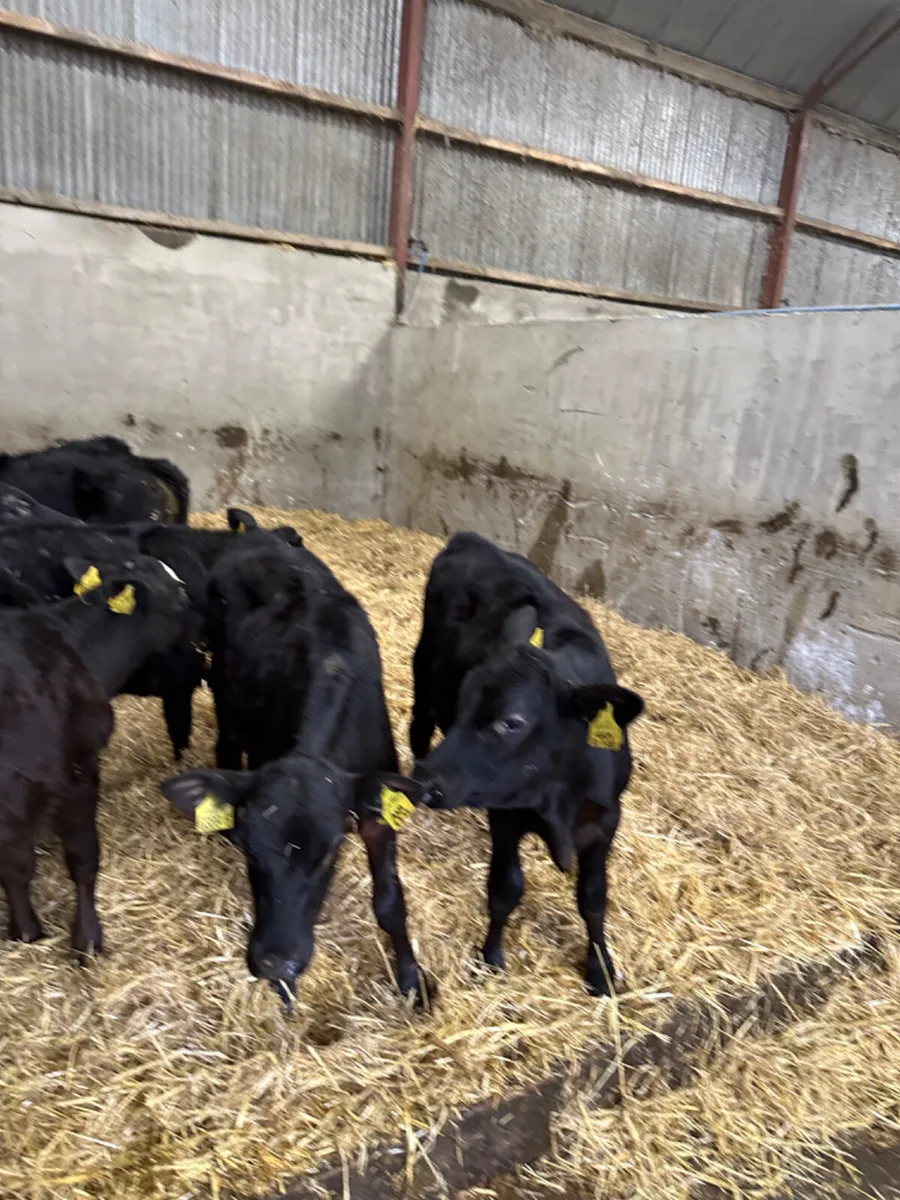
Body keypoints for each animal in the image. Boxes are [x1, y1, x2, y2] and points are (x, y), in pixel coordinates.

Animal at [0, 557, 188, 956]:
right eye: (181, 596)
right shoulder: (75, 771)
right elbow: (80, 855)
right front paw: (85, 935)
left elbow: (15, 864)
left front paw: (25, 929)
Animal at [161, 539, 426, 1005]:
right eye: (250, 848)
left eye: (331, 851)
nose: (275, 962)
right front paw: (285, 991)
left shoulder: (377, 813)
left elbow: (391, 901)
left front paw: (412, 981)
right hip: (223, 690)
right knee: (226, 745)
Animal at [409, 532, 644, 997]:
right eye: (463, 704)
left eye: (512, 722)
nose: (426, 784)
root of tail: (473, 540)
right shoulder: (506, 815)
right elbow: (505, 887)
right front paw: (490, 957)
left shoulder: (606, 820)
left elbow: (594, 897)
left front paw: (600, 969)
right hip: (423, 671)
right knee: (418, 728)